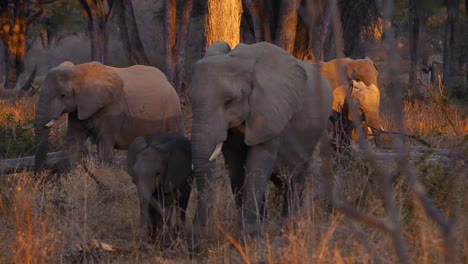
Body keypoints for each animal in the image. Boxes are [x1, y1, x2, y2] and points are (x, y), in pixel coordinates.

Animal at [33, 60, 184, 174]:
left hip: (173, 109)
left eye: (63, 95)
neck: (78, 71)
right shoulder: (78, 108)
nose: (39, 176)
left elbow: (104, 147)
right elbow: (72, 144)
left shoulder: (113, 109)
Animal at [188, 40, 334, 245]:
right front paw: (254, 232)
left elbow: (258, 163)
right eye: (191, 100)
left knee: (296, 179)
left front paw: (248, 237)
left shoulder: (270, 112)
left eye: (230, 101)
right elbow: (235, 169)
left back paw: (290, 230)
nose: (196, 242)